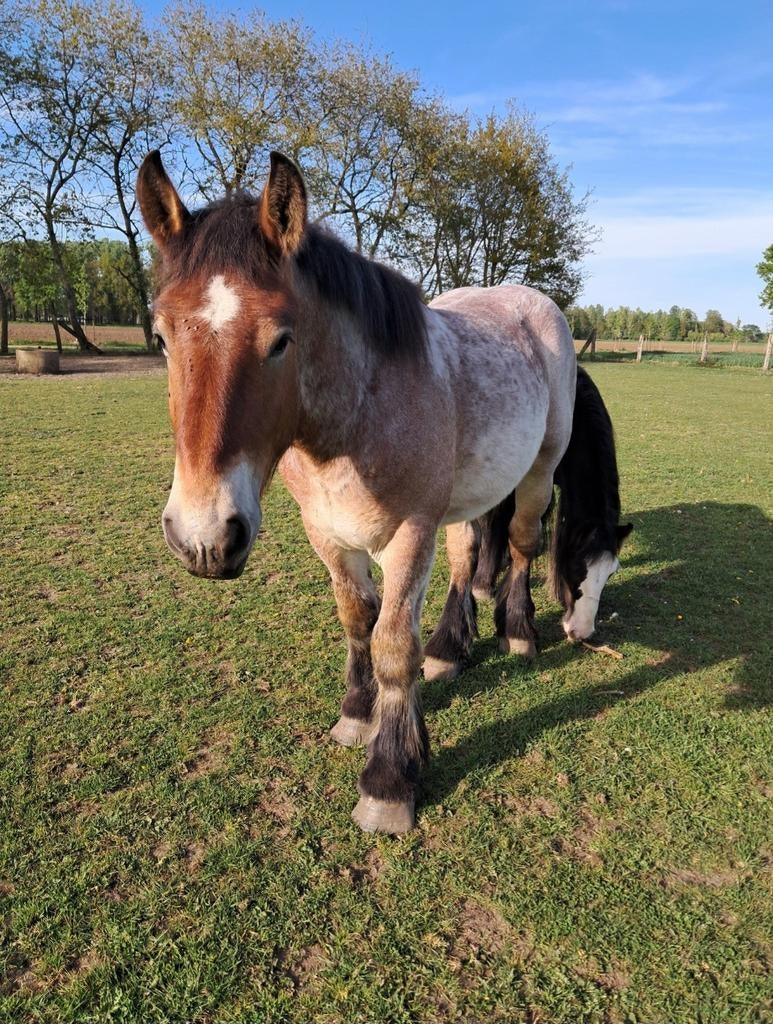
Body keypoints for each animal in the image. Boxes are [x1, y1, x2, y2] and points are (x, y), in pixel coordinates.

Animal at [137, 149, 631, 834]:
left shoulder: (410, 533)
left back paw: (518, 631)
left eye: (281, 338)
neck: (354, 417)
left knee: (521, 542)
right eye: (161, 336)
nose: (204, 537)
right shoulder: (326, 533)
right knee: (466, 555)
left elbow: (394, 643)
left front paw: (390, 777)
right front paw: (358, 713)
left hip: (536, 474)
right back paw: (451, 647)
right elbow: (357, 620)